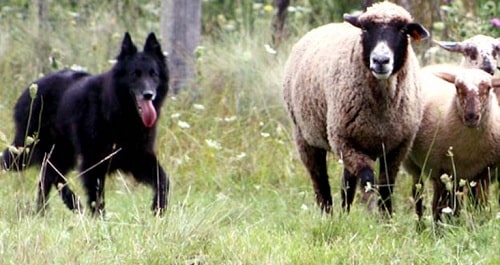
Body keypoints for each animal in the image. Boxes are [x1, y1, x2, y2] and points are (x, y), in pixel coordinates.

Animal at [1, 32, 171, 214]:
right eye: (135, 74)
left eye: (153, 74)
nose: (149, 95)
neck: (118, 111)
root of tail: (29, 90)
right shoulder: (93, 163)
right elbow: (97, 201)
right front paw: (100, 220)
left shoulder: (139, 157)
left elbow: (164, 181)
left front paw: (158, 208)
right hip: (36, 150)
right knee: (53, 176)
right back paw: (72, 204)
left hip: (59, 153)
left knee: (47, 178)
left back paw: (45, 211)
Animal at [282, 1, 430, 213]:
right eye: (365, 29)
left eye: (403, 30)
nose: (380, 61)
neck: (382, 109)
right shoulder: (344, 140)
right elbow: (368, 179)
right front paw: (371, 212)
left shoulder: (399, 147)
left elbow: (385, 186)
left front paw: (386, 217)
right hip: (306, 136)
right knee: (320, 181)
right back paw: (328, 214)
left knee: (346, 184)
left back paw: (345, 213)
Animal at [402, 65, 500, 222]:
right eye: (457, 87)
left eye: (488, 88)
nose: (471, 116)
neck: (469, 150)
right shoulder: (441, 170)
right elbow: (439, 207)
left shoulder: (482, 172)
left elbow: (480, 206)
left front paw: (481, 222)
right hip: (414, 166)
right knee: (419, 195)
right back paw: (420, 225)